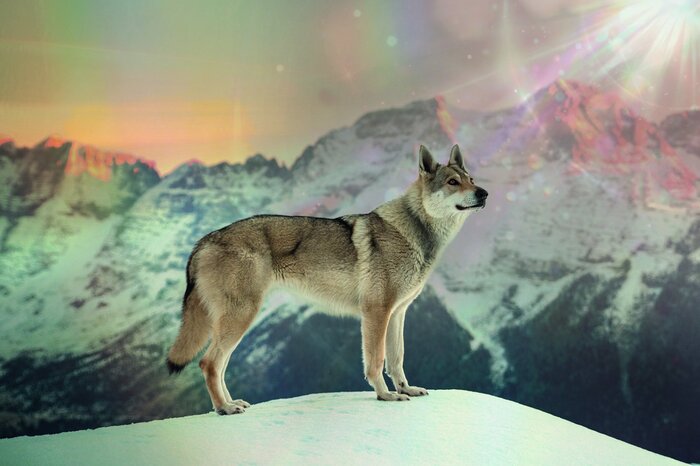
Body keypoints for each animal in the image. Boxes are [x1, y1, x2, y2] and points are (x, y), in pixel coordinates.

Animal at [166, 144, 487, 414]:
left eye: (470, 178)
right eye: (452, 182)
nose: (484, 193)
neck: (415, 233)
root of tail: (203, 241)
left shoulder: (398, 314)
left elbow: (397, 359)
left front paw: (406, 389)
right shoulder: (376, 312)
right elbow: (376, 361)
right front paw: (385, 396)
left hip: (238, 322)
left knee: (219, 366)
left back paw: (232, 403)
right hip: (241, 317)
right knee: (208, 363)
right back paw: (225, 408)